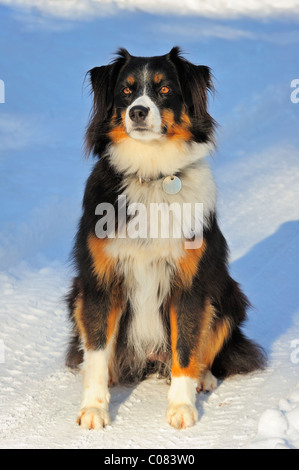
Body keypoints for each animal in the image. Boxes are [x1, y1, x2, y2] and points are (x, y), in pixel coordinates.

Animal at [66, 46, 268, 430]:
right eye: (126, 90)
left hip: (227, 295)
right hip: (75, 294)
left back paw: (203, 379)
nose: (138, 111)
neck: (151, 174)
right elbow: (97, 351)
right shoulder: (100, 280)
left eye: (163, 89)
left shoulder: (190, 283)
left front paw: (181, 407)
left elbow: (186, 347)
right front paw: (94, 409)